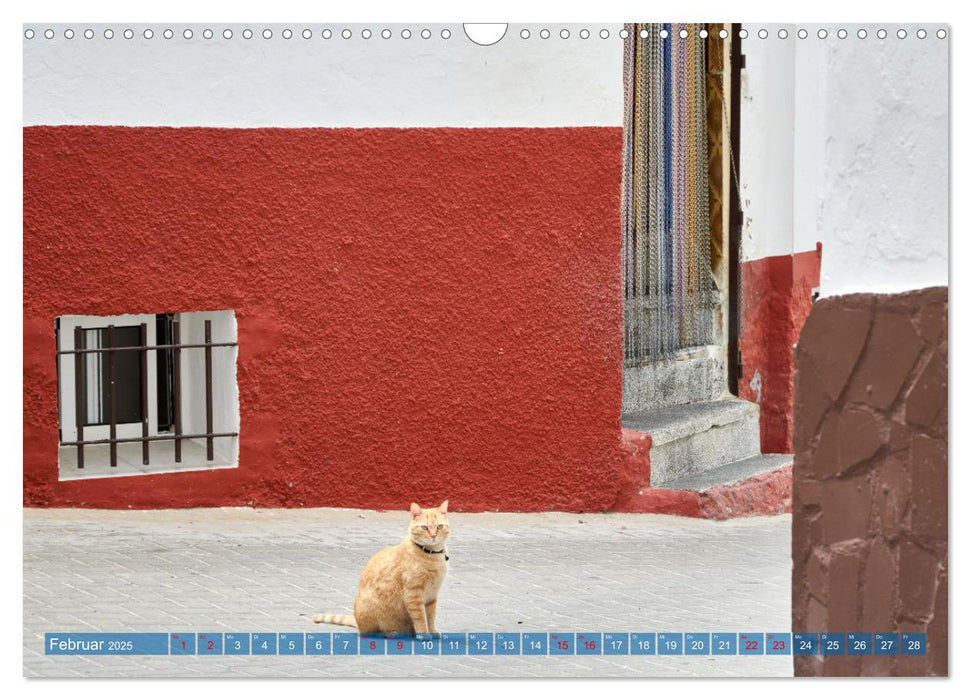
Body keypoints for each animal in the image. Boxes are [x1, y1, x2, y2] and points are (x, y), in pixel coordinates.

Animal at [312, 498, 452, 636]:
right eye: (424, 527)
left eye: (439, 526)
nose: (433, 536)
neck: (432, 555)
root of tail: (357, 622)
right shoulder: (413, 595)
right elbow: (421, 618)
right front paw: (424, 634)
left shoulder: (432, 595)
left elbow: (430, 617)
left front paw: (432, 631)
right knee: (372, 631)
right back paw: (391, 632)